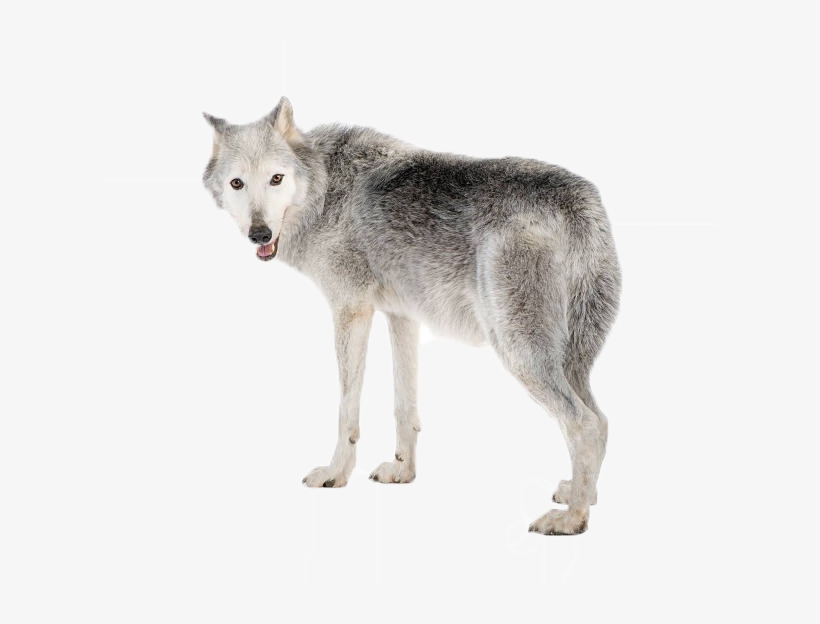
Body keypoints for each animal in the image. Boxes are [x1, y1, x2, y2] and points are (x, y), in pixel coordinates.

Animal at [201, 98, 621, 535]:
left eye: (276, 179)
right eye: (237, 184)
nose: (260, 233)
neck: (326, 189)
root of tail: (580, 202)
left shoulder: (351, 310)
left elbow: (347, 409)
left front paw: (336, 474)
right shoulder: (401, 315)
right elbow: (405, 406)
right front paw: (403, 472)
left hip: (519, 352)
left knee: (584, 423)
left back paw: (572, 518)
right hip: (568, 360)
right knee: (602, 419)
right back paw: (580, 493)